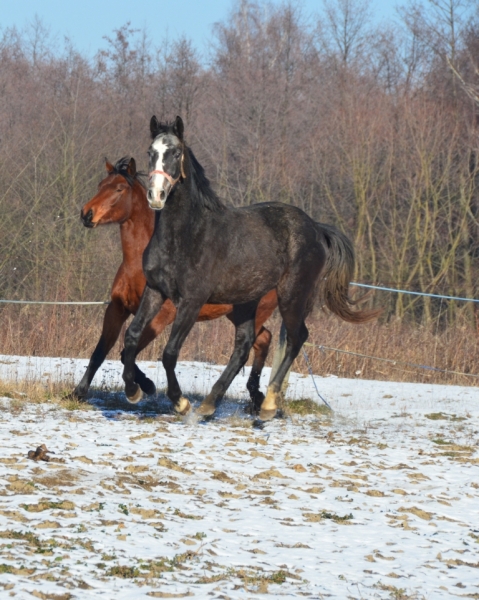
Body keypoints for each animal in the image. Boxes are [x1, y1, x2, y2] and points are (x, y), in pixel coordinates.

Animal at [74, 156, 278, 409]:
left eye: (120, 189)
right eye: (101, 185)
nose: (86, 214)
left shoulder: (162, 316)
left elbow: (124, 353)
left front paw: (145, 386)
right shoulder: (116, 309)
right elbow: (100, 353)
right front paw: (79, 392)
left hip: (256, 313)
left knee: (248, 347)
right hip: (238, 314)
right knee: (264, 340)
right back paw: (256, 398)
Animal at [121, 116, 381, 420]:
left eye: (175, 153)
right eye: (151, 152)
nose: (156, 195)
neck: (186, 235)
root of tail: (316, 228)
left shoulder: (192, 301)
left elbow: (170, 352)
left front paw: (180, 402)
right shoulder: (155, 291)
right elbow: (131, 337)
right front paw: (133, 390)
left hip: (292, 296)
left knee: (296, 338)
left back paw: (268, 404)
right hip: (247, 301)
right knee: (244, 346)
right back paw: (211, 403)